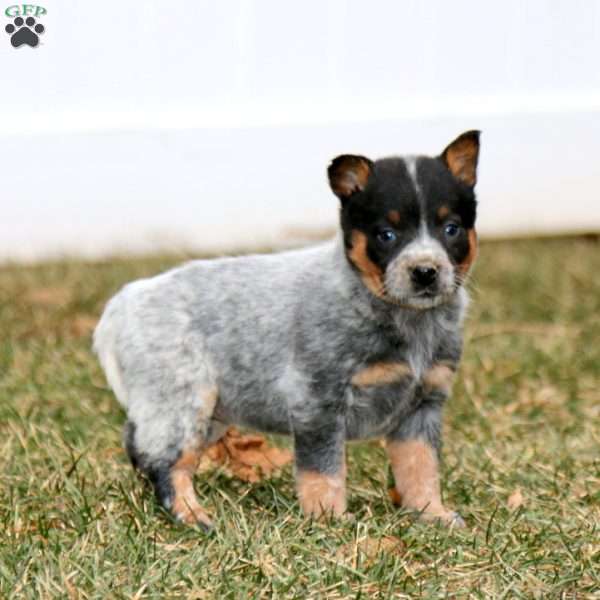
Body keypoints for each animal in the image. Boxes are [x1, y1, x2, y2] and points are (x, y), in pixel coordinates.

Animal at [94, 130, 480, 528]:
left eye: (451, 229)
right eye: (386, 234)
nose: (425, 271)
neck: (404, 319)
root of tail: (125, 300)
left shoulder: (423, 404)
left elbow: (421, 468)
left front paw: (431, 513)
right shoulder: (317, 399)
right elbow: (324, 470)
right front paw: (330, 519)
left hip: (207, 412)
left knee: (139, 444)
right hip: (183, 402)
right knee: (167, 462)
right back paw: (192, 514)